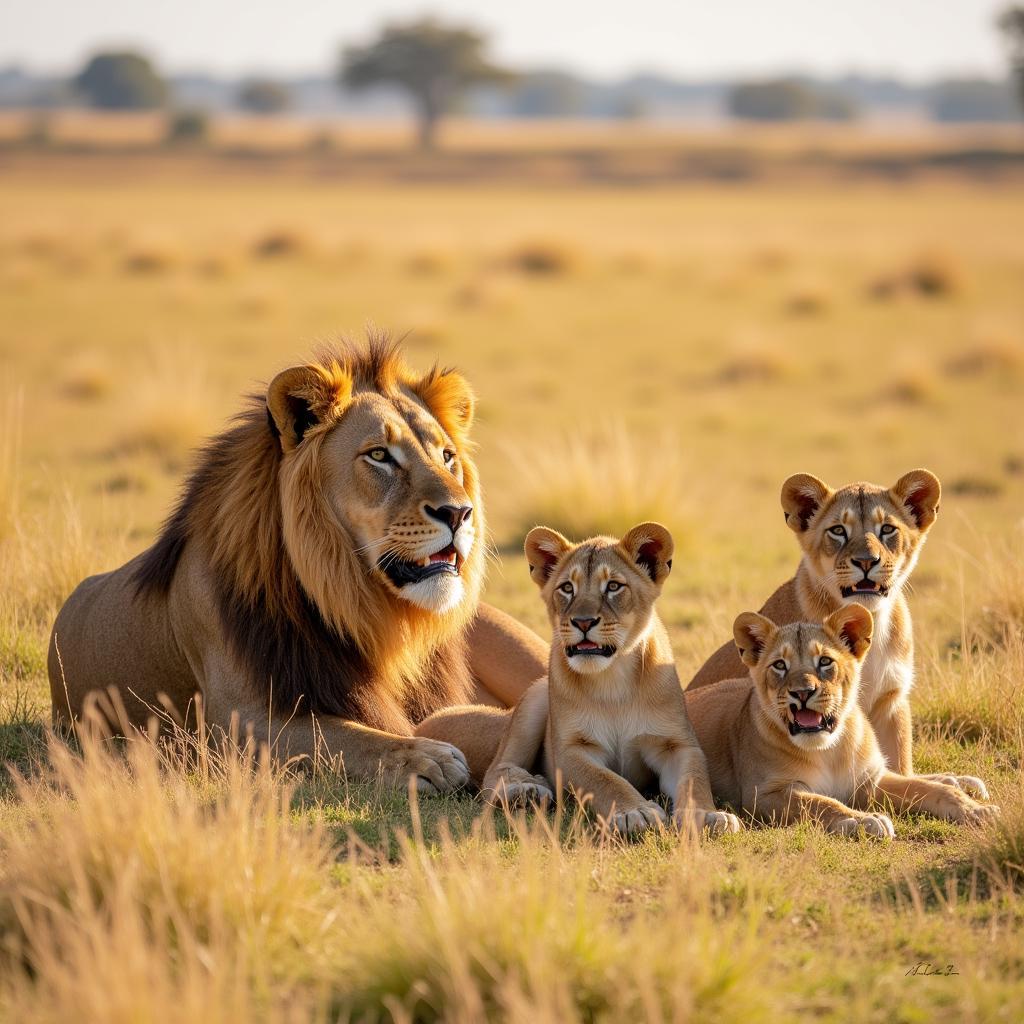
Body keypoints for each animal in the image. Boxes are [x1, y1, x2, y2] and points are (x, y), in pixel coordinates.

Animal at [49, 335, 544, 790]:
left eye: (446, 456)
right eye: (379, 455)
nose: (460, 513)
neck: (365, 612)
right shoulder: (234, 723)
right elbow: (351, 738)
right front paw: (426, 758)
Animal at [684, 468, 987, 798]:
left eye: (887, 529)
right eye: (838, 530)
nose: (866, 561)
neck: (872, 621)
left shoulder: (891, 700)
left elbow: (900, 767)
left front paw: (948, 785)